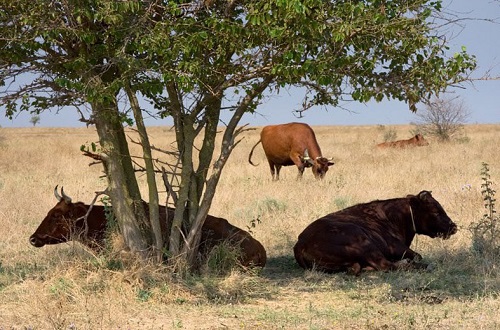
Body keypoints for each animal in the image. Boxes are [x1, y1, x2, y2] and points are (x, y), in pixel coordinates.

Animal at [292, 189, 458, 274]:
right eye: (435, 211)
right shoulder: (397, 247)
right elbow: (418, 255)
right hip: (364, 243)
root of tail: (300, 243)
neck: (393, 216)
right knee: (386, 265)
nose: (453, 226)